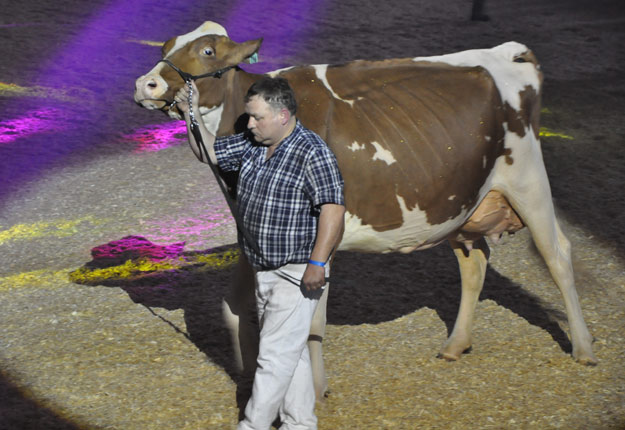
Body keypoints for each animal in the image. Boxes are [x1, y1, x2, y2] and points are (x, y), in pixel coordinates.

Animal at [134, 21, 596, 400]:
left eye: (208, 50)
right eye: (167, 45)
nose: (146, 84)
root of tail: (507, 51)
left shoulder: (317, 241)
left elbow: (310, 326)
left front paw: (315, 392)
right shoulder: (251, 234)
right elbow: (234, 308)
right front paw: (248, 383)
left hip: (528, 179)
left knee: (557, 255)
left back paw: (584, 348)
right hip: (460, 202)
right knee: (475, 263)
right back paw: (454, 345)